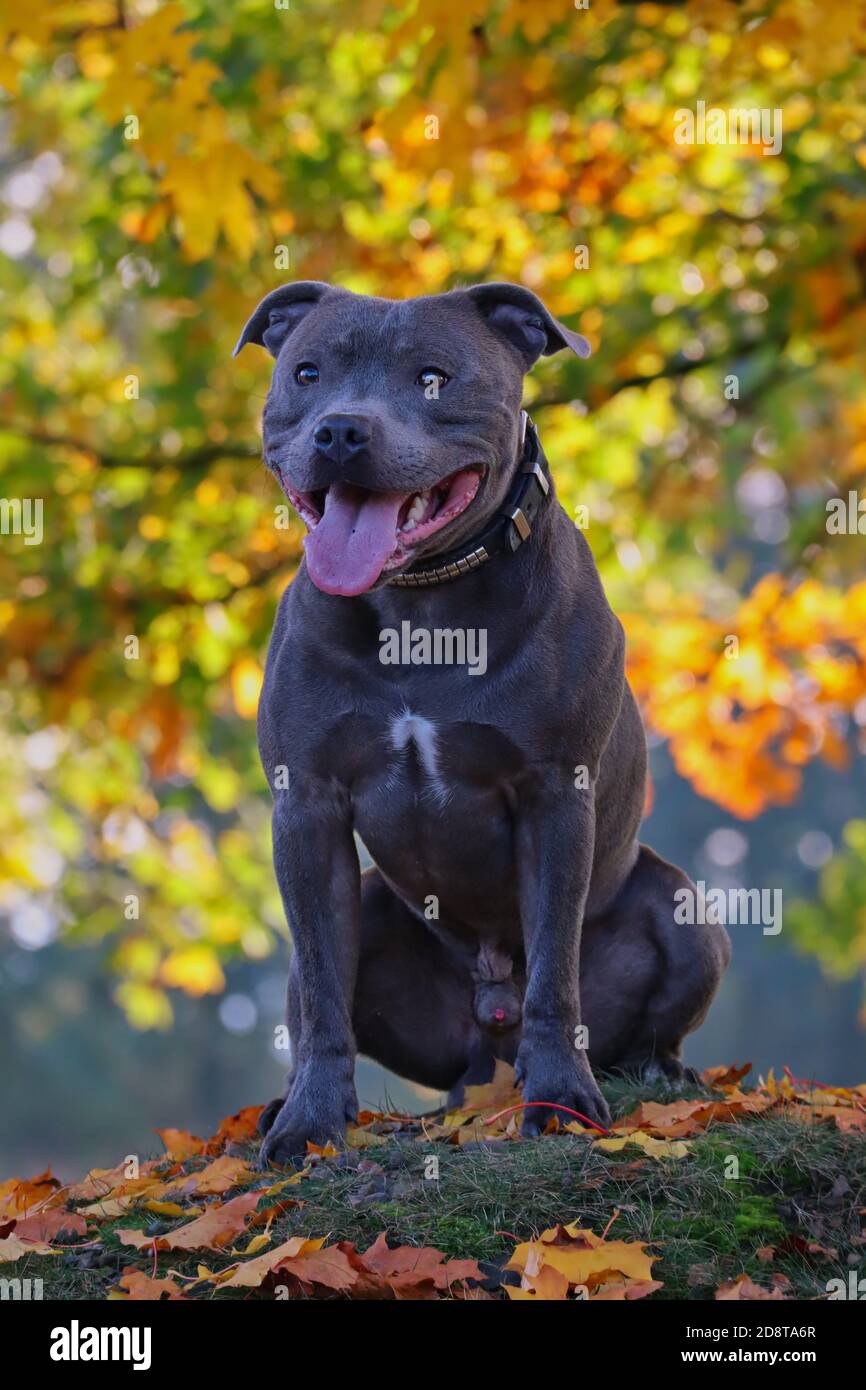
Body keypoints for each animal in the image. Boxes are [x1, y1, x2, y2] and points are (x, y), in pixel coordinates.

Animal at [233, 282, 728, 1162]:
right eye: (308, 372)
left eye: (433, 378)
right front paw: (310, 1125)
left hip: (686, 913)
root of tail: (482, 1050)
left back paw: (656, 1074)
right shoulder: (308, 806)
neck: (419, 606)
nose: (341, 430)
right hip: (371, 908)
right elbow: (322, 991)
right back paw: (286, 1102)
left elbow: (555, 977)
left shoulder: (554, 794)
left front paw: (560, 1102)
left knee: (627, 1021)